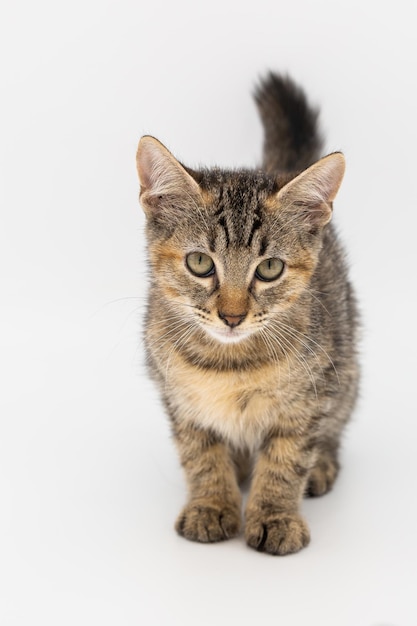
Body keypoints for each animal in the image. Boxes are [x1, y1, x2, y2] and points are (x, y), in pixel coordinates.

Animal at [136, 73, 358, 556]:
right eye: (200, 263)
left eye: (270, 268)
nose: (233, 316)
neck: (230, 363)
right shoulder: (178, 396)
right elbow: (200, 454)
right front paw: (211, 505)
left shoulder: (308, 398)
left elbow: (286, 459)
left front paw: (275, 515)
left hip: (345, 365)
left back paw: (322, 466)